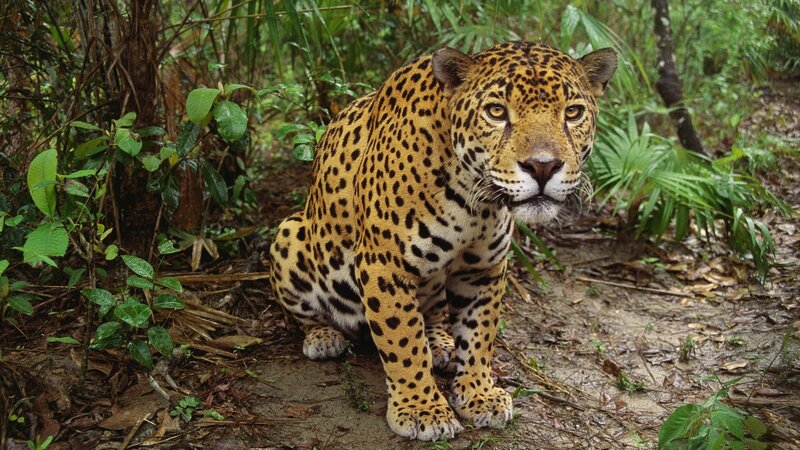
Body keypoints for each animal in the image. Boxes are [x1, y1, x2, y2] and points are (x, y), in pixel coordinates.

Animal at [269, 41, 617, 441]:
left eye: (572, 112)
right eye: (496, 112)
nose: (542, 167)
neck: (476, 201)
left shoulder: (484, 268)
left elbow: (480, 334)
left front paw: (479, 394)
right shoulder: (384, 265)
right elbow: (402, 340)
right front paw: (421, 409)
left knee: (434, 316)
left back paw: (441, 344)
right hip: (289, 234)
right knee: (306, 314)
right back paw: (323, 337)